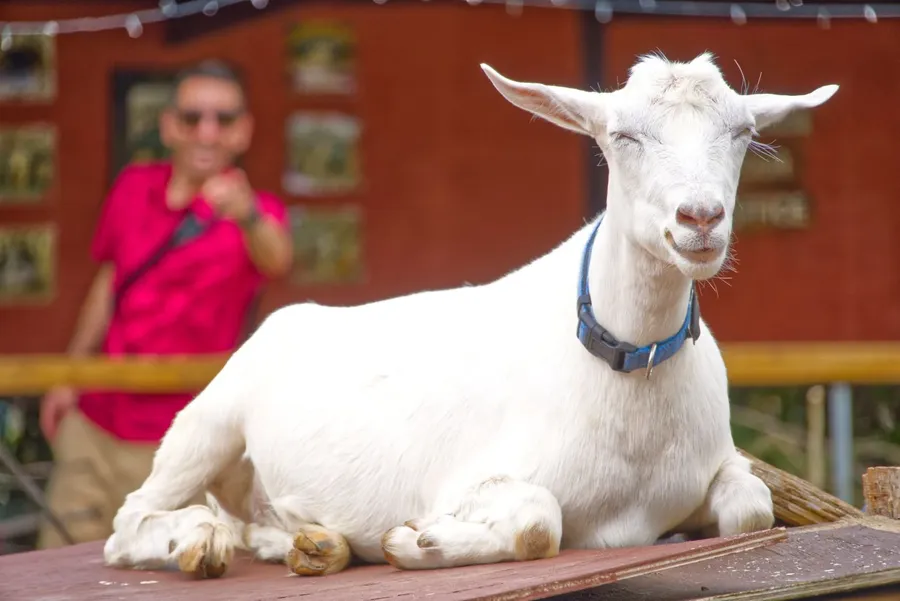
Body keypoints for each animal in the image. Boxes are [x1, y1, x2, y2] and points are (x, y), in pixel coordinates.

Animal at [102, 53, 838, 578]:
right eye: (621, 134)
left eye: (743, 132)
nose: (700, 219)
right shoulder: (470, 477)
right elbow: (539, 520)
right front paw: (417, 540)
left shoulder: (723, 468)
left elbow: (752, 507)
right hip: (208, 420)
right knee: (127, 523)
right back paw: (198, 540)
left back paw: (309, 542)